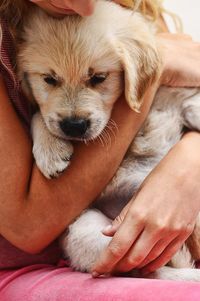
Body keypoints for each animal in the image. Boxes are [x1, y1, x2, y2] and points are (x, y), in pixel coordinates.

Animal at [17, 0, 200, 278]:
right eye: (49, 79)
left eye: (98, 78)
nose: (74, 126)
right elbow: (40, 115)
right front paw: (51, 152)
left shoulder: (178, 92)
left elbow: (190, 103)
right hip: (92, 233)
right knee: (146, 269)